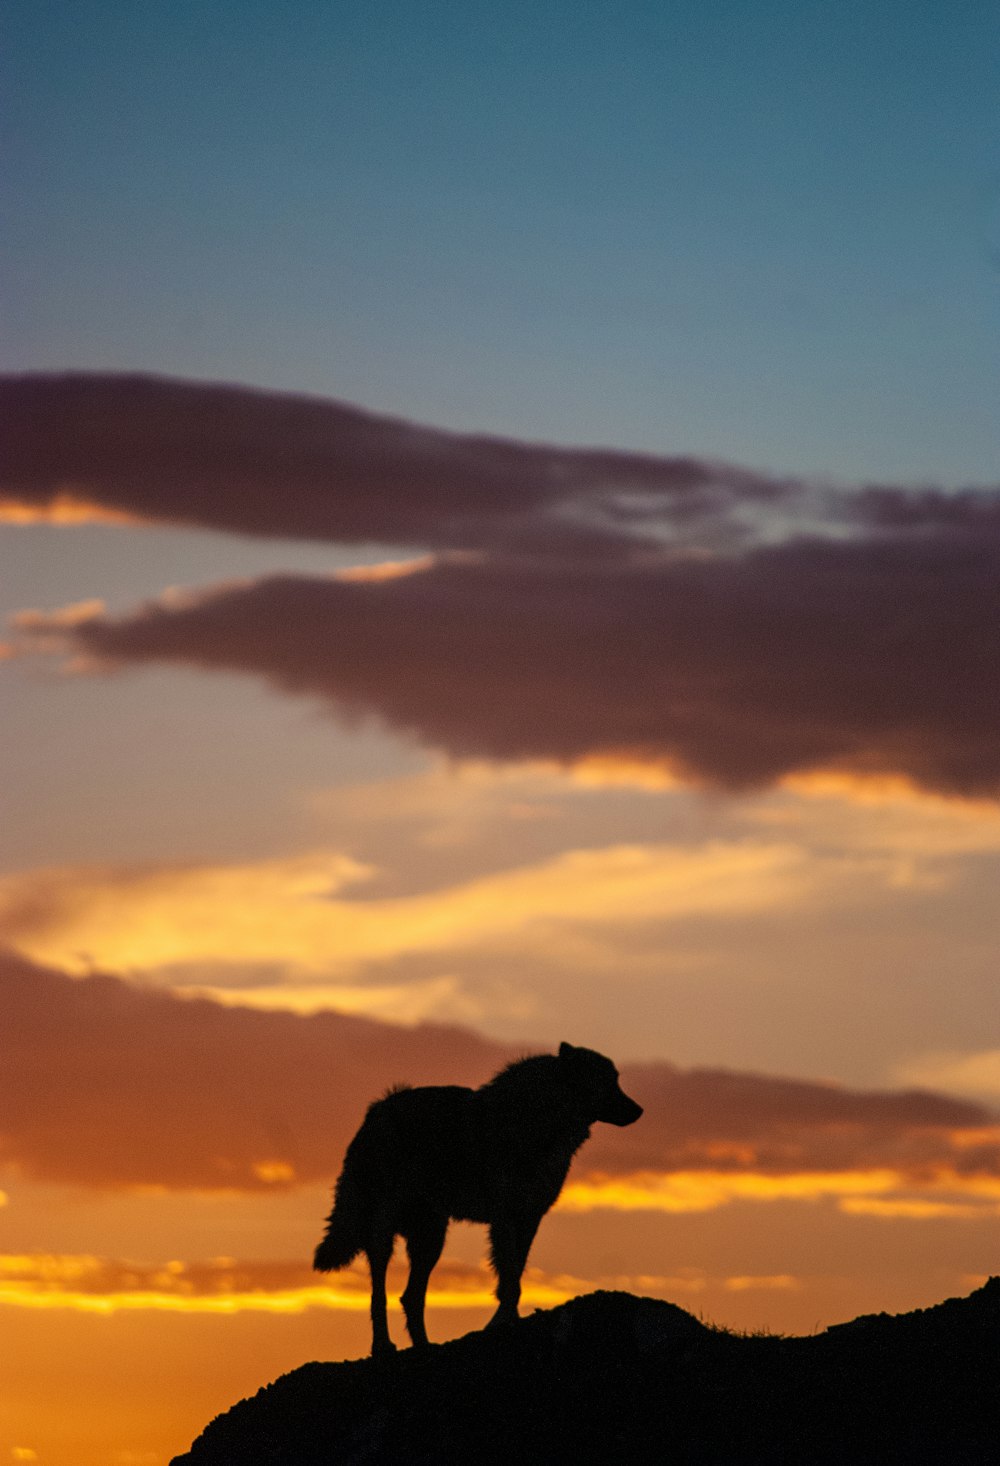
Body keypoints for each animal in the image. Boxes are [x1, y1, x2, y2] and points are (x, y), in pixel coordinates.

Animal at [310, 1043, 642, 1348]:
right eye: (610, 1081)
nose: (639, 1110)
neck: (537, 1120)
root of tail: (375, 1112)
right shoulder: (505, 1218)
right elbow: (509, 1280)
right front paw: (503, 1323)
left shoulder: (529, 1218)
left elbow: (515, 1276)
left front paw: (505, 1321)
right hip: (384, 1232)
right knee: (379, 1293)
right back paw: (382, 1346)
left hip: (431, 1240)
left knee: (410, 1297)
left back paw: (424, 1346)